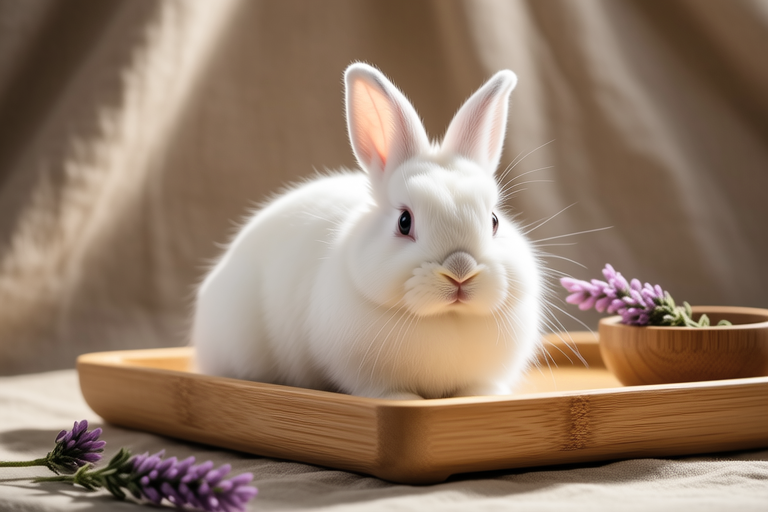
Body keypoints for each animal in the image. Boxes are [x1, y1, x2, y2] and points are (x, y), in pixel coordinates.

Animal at [192, 63, 542, 400]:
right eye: (404, 222)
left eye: (494, 221)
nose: (460, 271)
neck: (446, 319)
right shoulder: (362, 372)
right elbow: (385, 391)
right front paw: (404, 400)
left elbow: (477, 387)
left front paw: (484, 395)